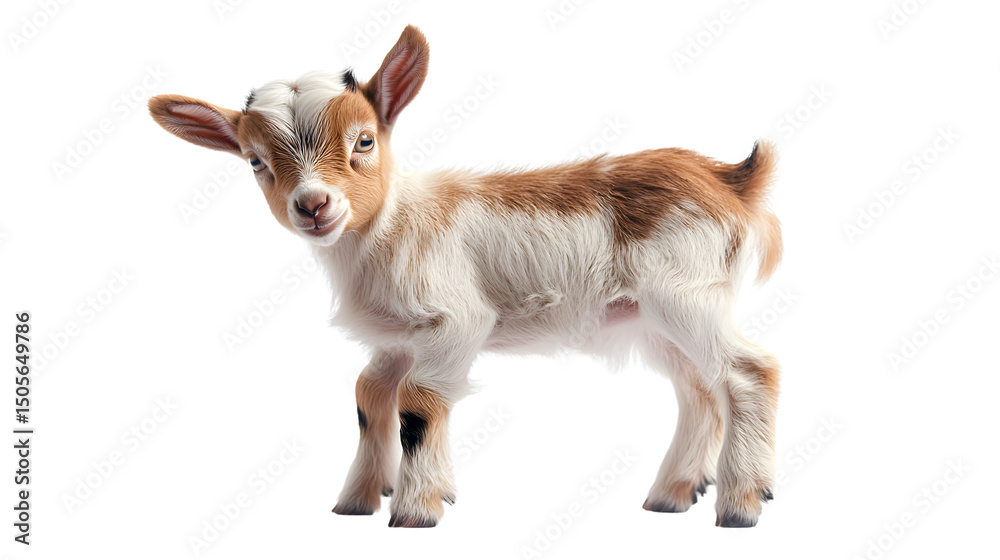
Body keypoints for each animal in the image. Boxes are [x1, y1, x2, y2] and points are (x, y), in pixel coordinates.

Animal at [149, 24, 782, 528]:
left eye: (364, 141)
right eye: (256, 161)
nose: (313, 205)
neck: (391, 224)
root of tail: (728, 179)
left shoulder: (456, 320)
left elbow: (419, 403)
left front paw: (415, 510)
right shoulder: (399, 337)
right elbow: (369, 393)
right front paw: (358, 501)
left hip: (686, 295)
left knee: (750, 372)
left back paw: (740, 505)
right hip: (652, 318)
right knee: (700, 389)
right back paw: (672, 495)